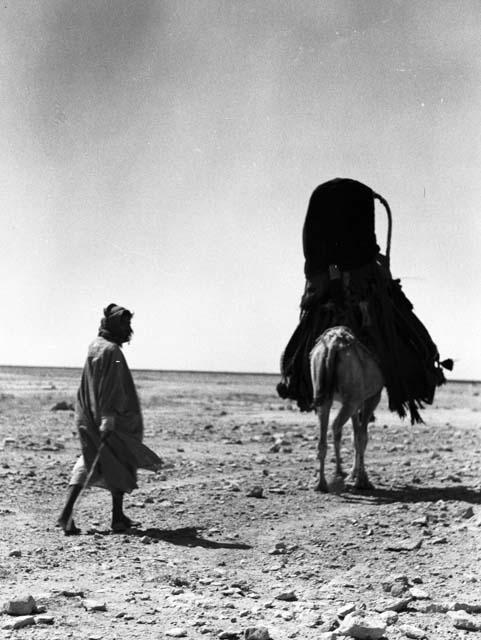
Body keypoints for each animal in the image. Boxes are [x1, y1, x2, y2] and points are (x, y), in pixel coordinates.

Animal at [310, 328, 384, 492]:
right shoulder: (372, 398)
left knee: (326, 432)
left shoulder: (355, 403)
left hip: (324, 393)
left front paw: (352, 474)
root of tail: (333, 345)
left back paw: (322, 483)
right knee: (336, 426)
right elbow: (361, 437)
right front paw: (361, 480)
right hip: (352, 397)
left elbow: (355, 435)